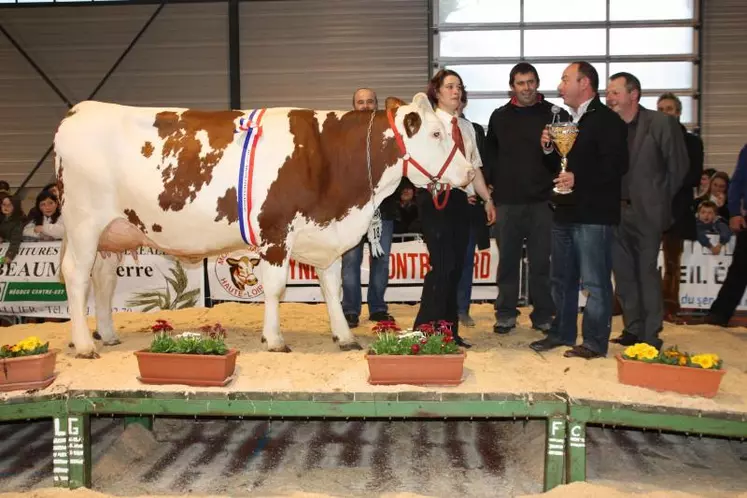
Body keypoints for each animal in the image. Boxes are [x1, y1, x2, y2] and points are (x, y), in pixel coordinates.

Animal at [54, 93, 474, 358]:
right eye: (436, 133)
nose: (471, 173)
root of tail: (78, 112)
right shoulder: (276, 233)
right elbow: (275, 288)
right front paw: (274, 339)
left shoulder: (327, 236)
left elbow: (333, 289)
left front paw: (344, 336)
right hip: (84, 223)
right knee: (76, 276)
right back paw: (85, 345)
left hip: (112, 232)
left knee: (103, 280)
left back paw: (107, 335)